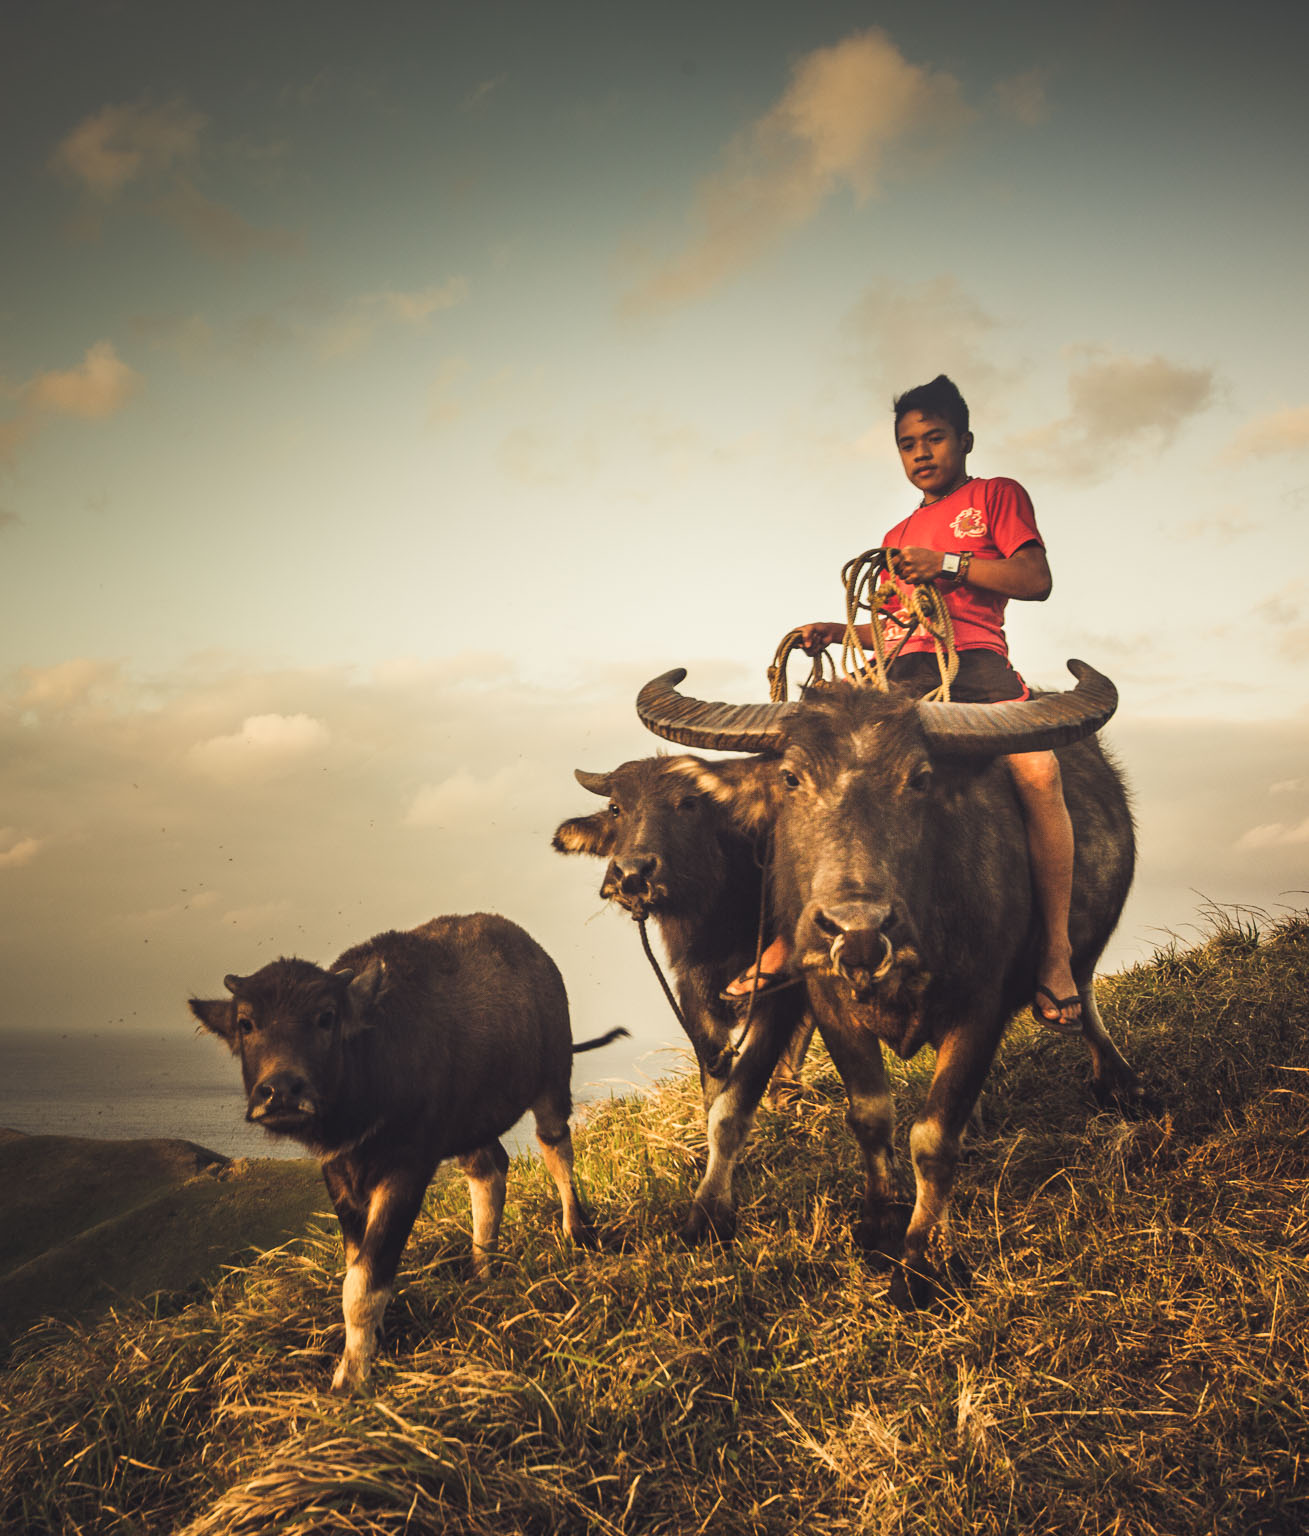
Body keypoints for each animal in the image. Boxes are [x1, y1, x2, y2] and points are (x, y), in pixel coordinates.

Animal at [185, 909, 629, 1394]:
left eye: (325, 1017)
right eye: (246, 1023)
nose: (281, 1090)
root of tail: (540, 959)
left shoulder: (408, 1167)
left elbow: (365, 1281)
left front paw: (351, 1379)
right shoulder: (338, 1172)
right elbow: (356, 1264)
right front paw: (372, 1341)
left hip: (552, 1079)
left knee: (556, 1148)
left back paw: (577, 1233)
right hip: (472, 1122)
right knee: (489, 1170)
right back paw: (482, 1269)